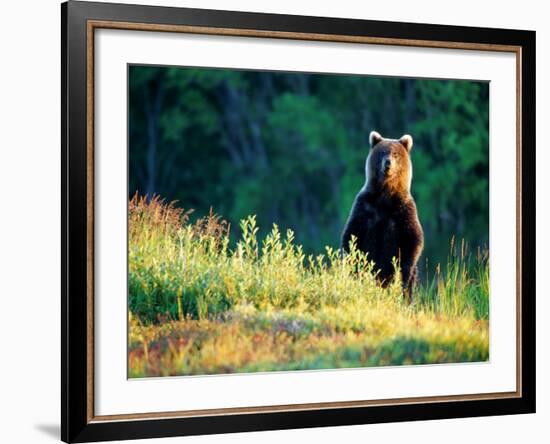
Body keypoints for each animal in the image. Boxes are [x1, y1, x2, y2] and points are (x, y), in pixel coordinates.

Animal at [340, 130, 426, 300]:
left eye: (395, 154)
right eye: (382, 152)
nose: (388, 163)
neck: (385, 196)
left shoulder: (403, 210)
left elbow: (413, 240)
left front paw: (403, 273)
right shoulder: (365, 207)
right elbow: (352, 234)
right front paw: (351, 263)